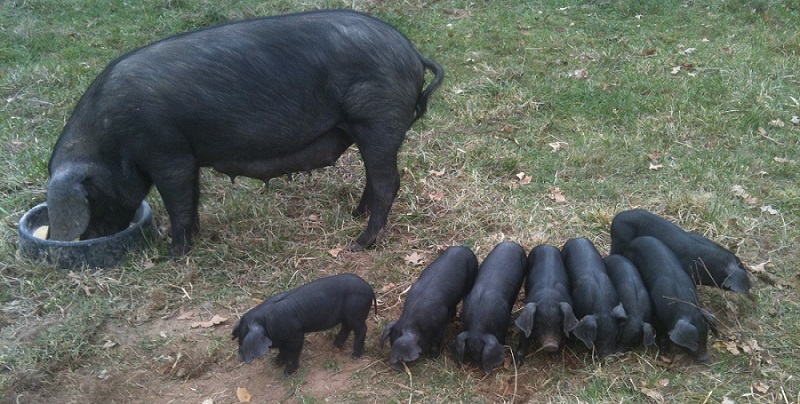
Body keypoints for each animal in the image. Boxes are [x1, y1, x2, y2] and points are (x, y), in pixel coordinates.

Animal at [45, 8, 444, 256]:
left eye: (90, 196)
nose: (88, 239)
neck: (110, 140)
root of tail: (411, 52)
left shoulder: (167, 151)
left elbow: (178, 202)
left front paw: (173, 254)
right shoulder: (186, 158)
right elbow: (191, 198)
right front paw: (196, 238)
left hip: (379, 119)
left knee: (388, 181)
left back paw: (358, 243)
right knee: (374, 178)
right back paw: (355, 215)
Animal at [231, 274, 376, 374]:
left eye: (244, 338)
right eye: (239, 337)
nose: (238, 358)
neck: (267, 324)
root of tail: (369, 288)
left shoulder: (296, 334)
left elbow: (293, 352)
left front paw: (287, 373)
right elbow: (283, 351)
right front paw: (275, 363)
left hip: (356, 313)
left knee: (362, 329)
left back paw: (355, 356)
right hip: (348, 315)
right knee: (346, 327)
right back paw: (335, 345)